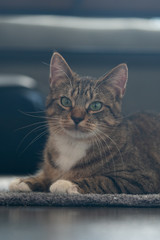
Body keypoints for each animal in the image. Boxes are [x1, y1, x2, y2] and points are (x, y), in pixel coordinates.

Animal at [9, 52, 160, 193]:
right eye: (65, 101)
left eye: (96, 105)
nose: (77, 118)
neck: (72, 145)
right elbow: (45, 175)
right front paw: (27, 181)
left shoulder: (142, 177)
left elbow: (104, 180)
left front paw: (66, 183)